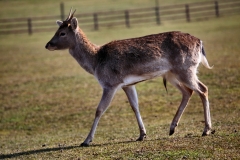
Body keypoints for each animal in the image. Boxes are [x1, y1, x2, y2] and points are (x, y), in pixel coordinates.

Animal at [45, 8, 214, 146]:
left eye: (62, 33)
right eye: (57, 30)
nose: (48, 45)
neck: (96, 61)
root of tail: (199, 42)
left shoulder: (110, 83)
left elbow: (99, 109)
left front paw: (86, 141)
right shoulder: (127, 85)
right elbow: (134, 106)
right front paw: (142, 135)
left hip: (186, 69)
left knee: (203, 89)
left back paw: (206, 130)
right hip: (172, 74)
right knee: (188, 91)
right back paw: (172, 128)